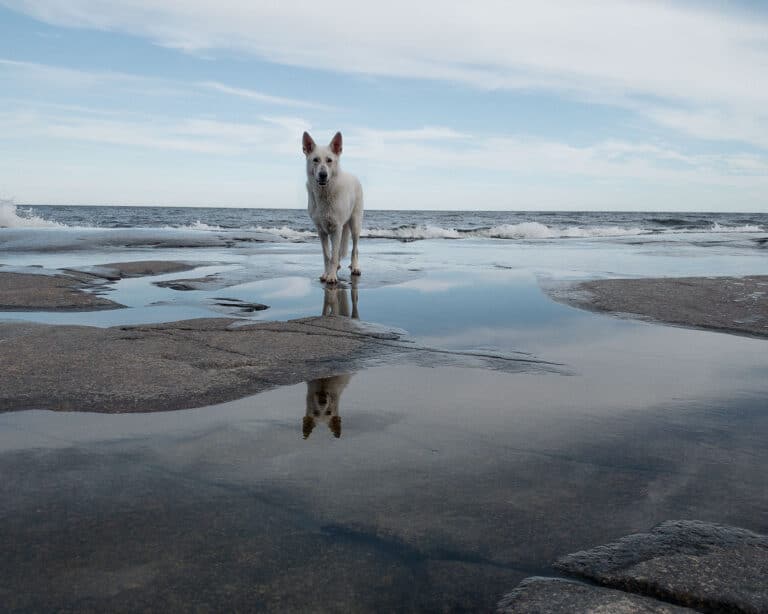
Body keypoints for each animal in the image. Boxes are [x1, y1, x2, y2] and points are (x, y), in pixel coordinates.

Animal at [304, 131, 364, 286]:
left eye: (329, 160)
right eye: (315, 160)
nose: (323, 175)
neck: (325, 193)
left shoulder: (336, 229)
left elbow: (335, 253)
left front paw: (331, 276)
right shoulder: (321, 231)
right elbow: (327, 255)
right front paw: (327, 274)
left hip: (355, 225)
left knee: (355, 249)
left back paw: (355, 267)